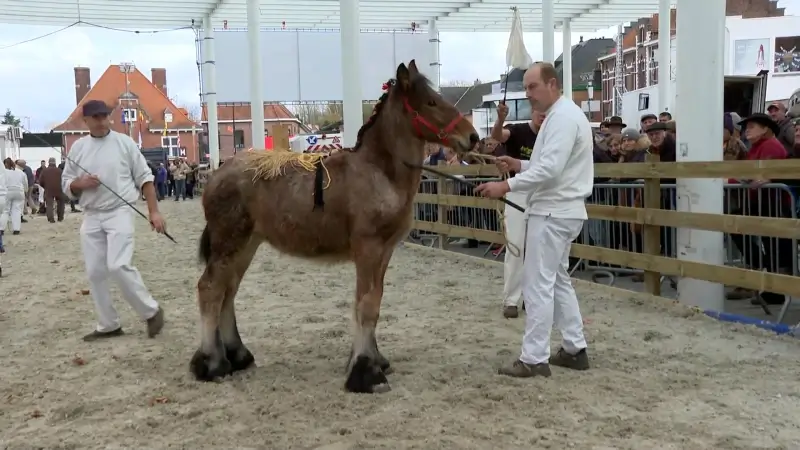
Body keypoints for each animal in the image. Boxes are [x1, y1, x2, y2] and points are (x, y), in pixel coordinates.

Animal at [192, 60, 479, 394]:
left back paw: (238, 356)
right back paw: (211, 364)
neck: (377, 172)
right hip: (229, 242)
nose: (473, 137)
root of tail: (215, 175)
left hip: (247, 244)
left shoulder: (384, 252)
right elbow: (366, 305)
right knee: (210, 289)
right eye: (431, 102)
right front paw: (366, 373)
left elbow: (374, 301)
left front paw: (374, 360)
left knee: (228, 291)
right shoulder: (368, 249)